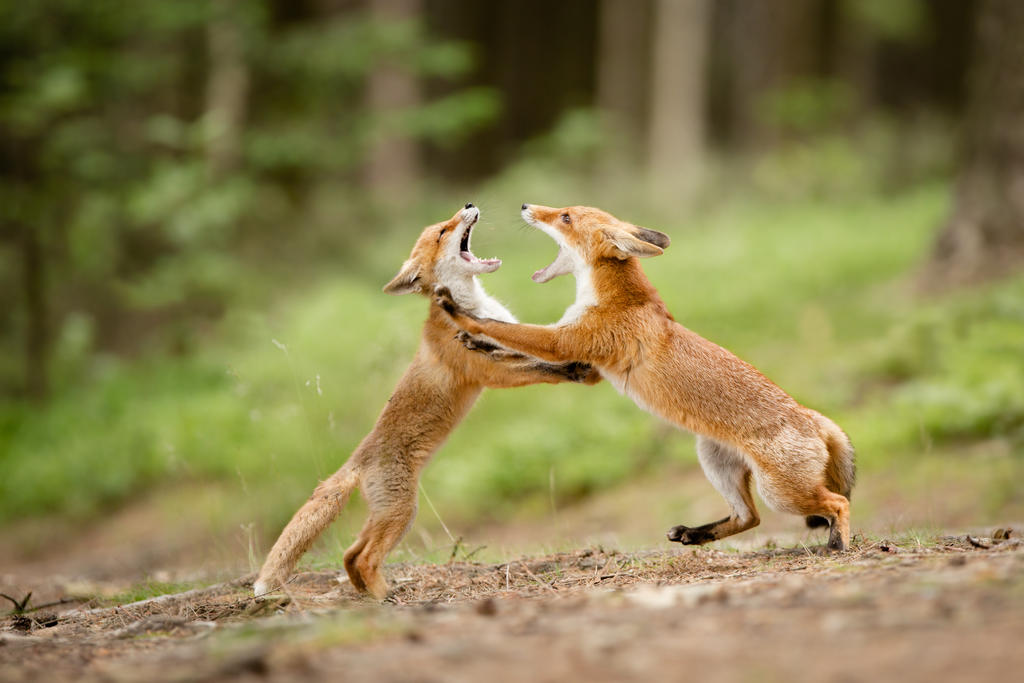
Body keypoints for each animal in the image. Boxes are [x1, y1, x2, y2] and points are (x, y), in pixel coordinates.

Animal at [250, 204, 598, 598]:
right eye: (443, 232)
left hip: (387, 514)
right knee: (365, 557)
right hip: (402, 512)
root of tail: (358, 459)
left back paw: (368, 593)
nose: (468, 205)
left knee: (350, 553)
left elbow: (537, 352)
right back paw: (383, 597)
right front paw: (575, 370)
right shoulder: (490, 372)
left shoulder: (505, 337)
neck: (471, 304)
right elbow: (540, 368)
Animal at [434, 202, 856, 548]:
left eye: (565, 217)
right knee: (748, 518)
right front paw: (479, 344)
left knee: (837, 502)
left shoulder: (565, 340)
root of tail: (814, 417)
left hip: (781, 492)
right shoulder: (587, 366)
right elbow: (517, 351)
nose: (526, 206)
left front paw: (458, 311)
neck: (611, 297)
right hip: (714, 460)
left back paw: (836, 543)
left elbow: (507, 329)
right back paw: (695, 534)